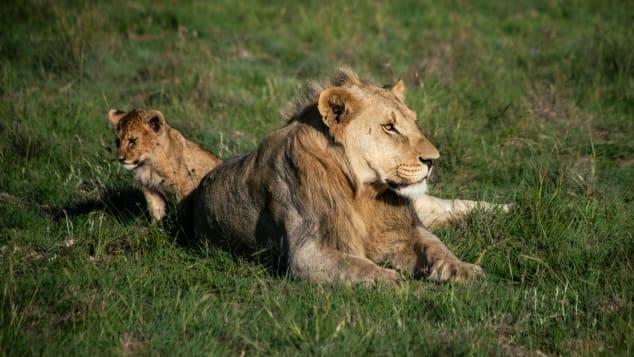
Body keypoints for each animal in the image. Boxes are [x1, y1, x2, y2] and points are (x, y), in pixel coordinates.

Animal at [191, 67, 504, 284]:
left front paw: (462, 269)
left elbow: (437, 247)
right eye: (389, 127)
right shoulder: (307, 251)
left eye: (414, 122)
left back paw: (504, 210)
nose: (433, 160)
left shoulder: (409, 229)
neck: (365, 193)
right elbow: (355, 265)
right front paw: (389, 279)